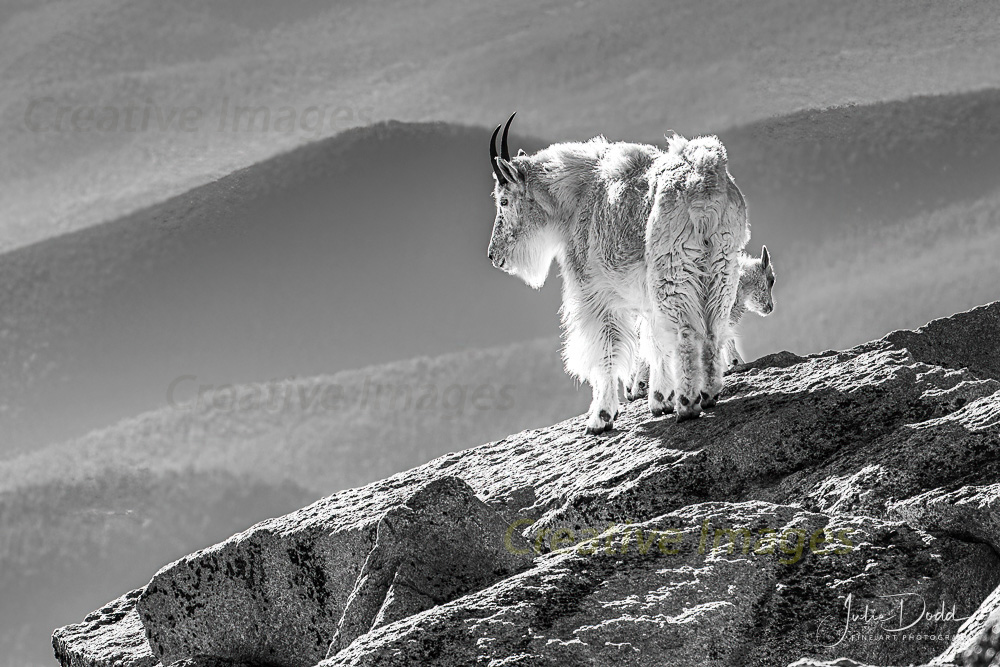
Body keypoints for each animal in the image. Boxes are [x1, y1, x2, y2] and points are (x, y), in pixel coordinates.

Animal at [488, 113, 748, 434]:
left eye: (504, 201)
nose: (494, 255)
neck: (577, 199)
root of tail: (704, 183)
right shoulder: (645, 296)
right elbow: (652, 342)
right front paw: (659, 400)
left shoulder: (592, 293)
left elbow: (606, 349)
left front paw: (600, 417)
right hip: (722, 266)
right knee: (714, 327)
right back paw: (708, 394)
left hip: (672, 267)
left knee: (686, 331)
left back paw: (687, 403)